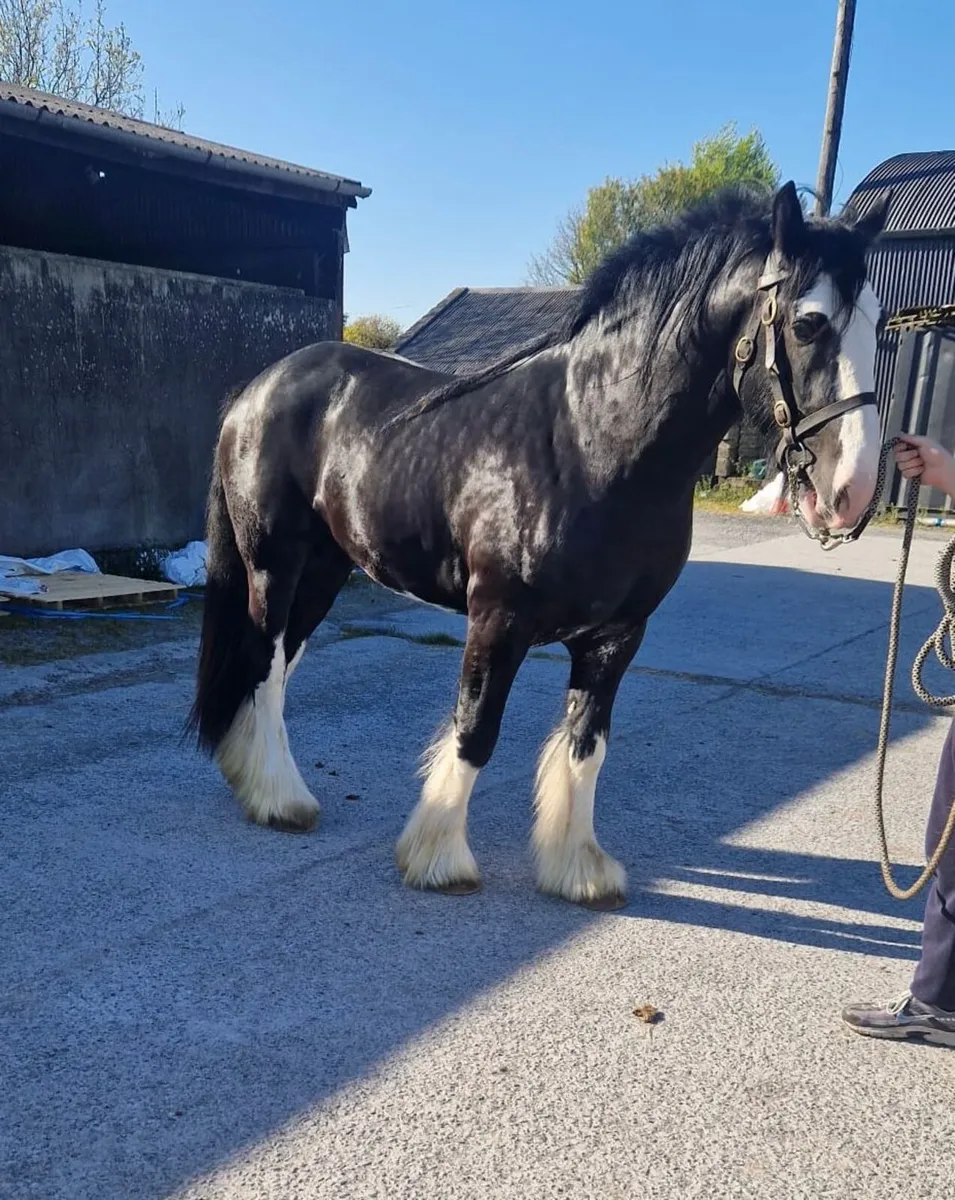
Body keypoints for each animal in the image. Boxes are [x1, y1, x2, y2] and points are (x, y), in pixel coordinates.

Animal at [188, 181, 891, 911]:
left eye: (879, 323)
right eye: (808, 324)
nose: (853, 489)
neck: (590, 442)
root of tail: (260, 386)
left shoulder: (617, 636)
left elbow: (587, 745)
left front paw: (578, 870)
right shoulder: (498, 621)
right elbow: (476, 729)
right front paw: (440, 858)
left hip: (326, 569)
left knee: (279, 664)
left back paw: (253, 778)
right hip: (274, 564)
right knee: (265, 662)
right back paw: (280, 799)